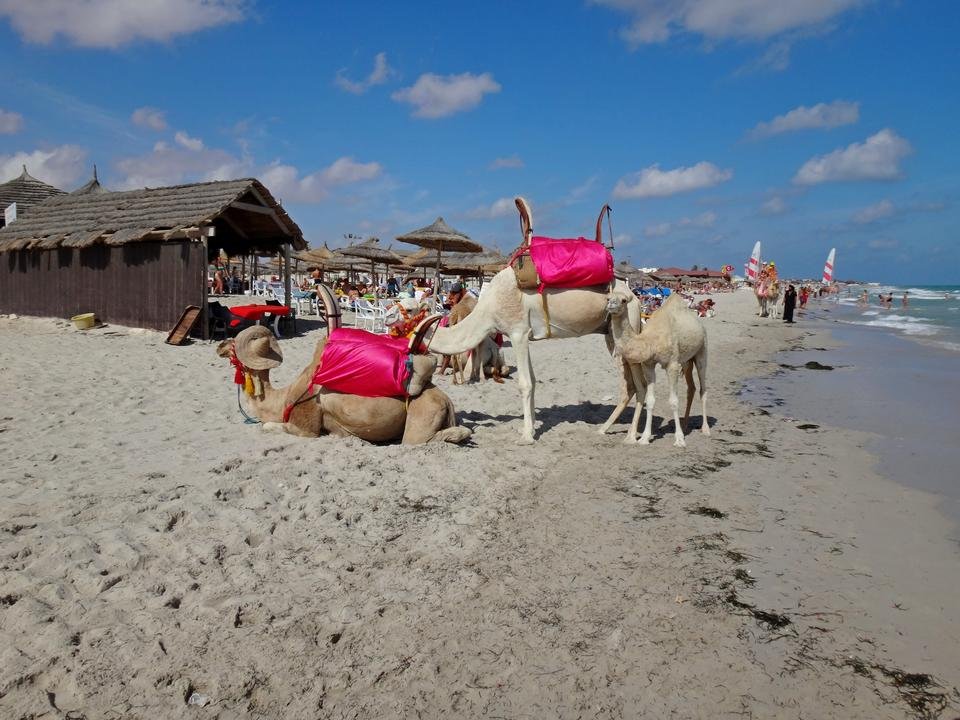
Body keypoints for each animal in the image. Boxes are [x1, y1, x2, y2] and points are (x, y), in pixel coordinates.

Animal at [426, 198, 636, 444]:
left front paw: (526, 436)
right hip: (611, 333)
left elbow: (524, 383)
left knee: (632, 383)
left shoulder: (517, 332)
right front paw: (530, 427)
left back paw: (620, 432)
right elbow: (534, 381)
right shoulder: (525, 335)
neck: (487, 308)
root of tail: (633, 296)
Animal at [604, 288, 708, 448]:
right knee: (691, 387)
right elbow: (651, 400)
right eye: (608, 298)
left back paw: (705, 429)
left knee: (703, 388)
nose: (611, 305)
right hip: (686, 360)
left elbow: (673, 401)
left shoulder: (672, 364)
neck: (650, 341)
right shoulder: (648, 364)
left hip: (702, 350)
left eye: (624, 300)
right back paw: (685, 425)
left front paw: (679, 440)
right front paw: (644, 438)